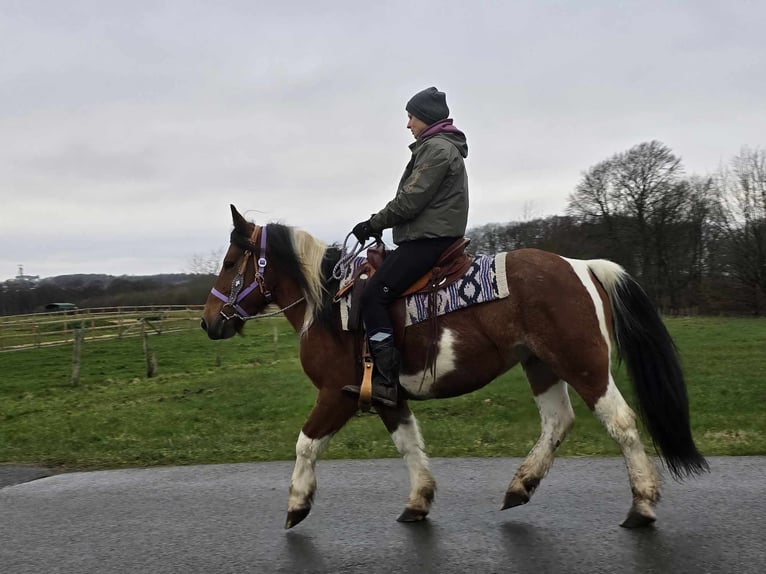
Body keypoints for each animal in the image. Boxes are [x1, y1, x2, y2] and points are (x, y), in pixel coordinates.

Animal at [201, 205, 712, 532]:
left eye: (230, 261)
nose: (208, 322)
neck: (329, 306)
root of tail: (582, 266)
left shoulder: (335, 395)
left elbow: (306, 444)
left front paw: (297, 504)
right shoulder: (384, 396)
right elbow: (409, 446)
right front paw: (418, 501)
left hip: (584, 365)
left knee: (621, 423)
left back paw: (642, 506)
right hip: (541, 365)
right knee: (557, 422)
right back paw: (521, 486)